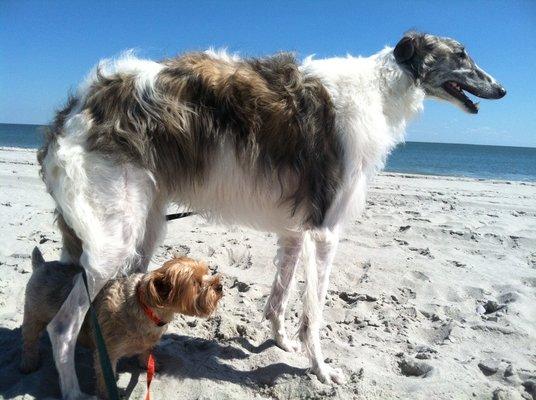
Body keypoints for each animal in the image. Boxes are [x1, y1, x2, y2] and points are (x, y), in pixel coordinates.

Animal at [38, 31, 506, 396]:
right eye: (461, 53)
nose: (502, 90)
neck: (379, 88)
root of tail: (74, 110)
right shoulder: (325, 231)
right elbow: (314, 314)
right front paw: (322, 371)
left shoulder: (296, 230)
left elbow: (279, 300)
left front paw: (283, 345)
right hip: (114, 240)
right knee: (62, 327)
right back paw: (74, 388)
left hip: (144, 227)